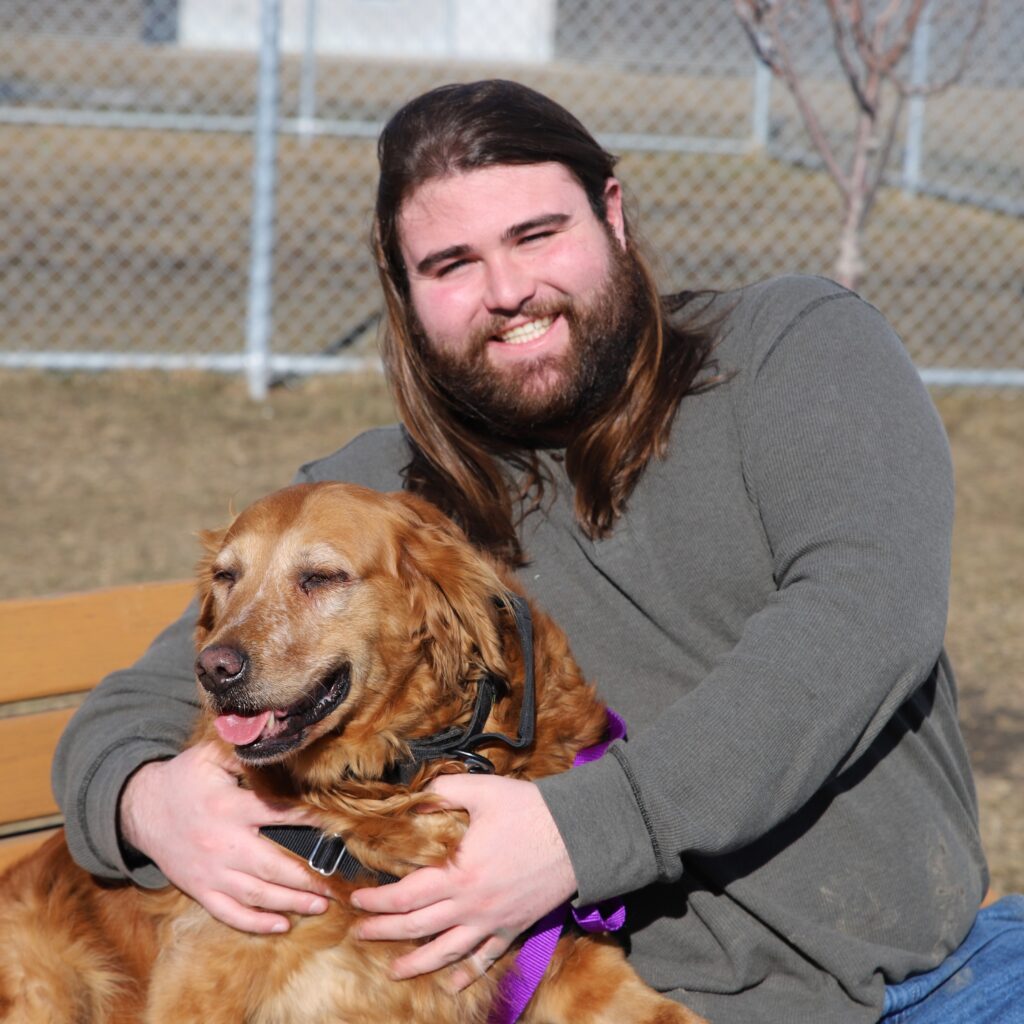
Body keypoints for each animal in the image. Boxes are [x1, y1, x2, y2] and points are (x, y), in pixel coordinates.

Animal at [0, 482, 705, 1023]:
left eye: (320, 577)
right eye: (227, 577)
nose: (212, 669)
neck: (391, 780)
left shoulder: (565, 957)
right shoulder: (210, 969)